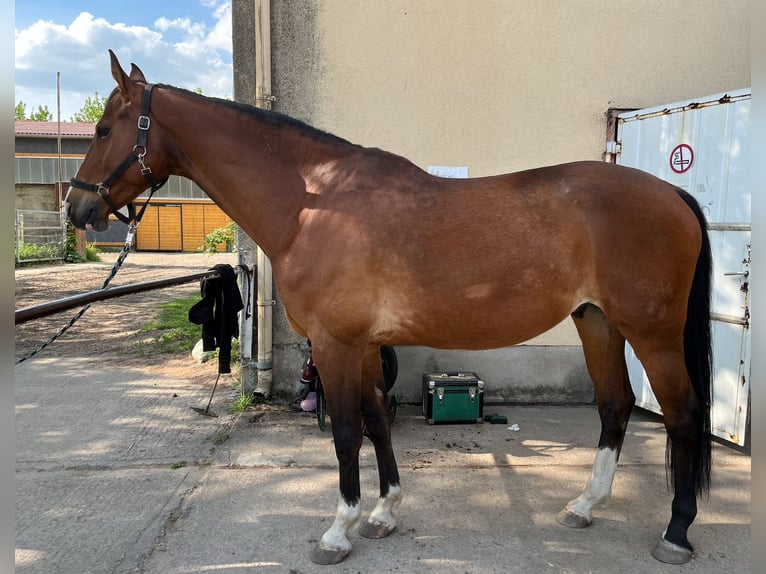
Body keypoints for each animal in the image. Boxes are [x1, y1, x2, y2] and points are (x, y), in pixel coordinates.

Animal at [65, 51, 713, 566]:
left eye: (101, 128)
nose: (78, 209)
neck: (313, 203)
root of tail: (672, 193)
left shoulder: (335, 343)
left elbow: (346, 432)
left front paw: (337, 532)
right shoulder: (367, 345)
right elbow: (377, 422)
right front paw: (383, 513)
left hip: (652, 331)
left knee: (681, 413)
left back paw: (676, 533)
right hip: (596, 322)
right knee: (615, 405)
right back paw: (584, 505)